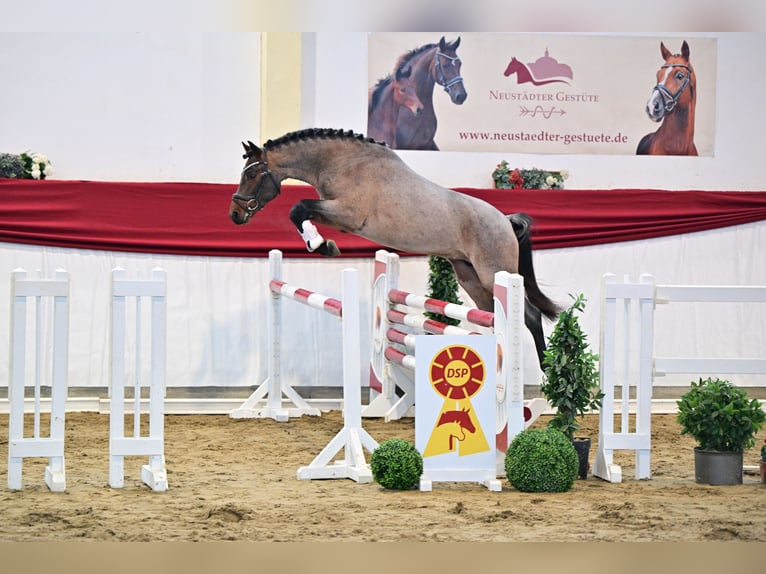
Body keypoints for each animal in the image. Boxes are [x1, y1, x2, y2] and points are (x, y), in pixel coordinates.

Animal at [226, 128, 560, 366]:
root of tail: (505, 220)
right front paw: (322, 243)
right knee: (492, 315)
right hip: (471, 278)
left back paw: (546, 374)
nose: (235, 214)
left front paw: (322, 245)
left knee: (530, 315)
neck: (343, 162)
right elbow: (301, 211)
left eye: (252, 174)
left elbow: (298, 208)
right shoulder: (338, 215)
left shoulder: (348, 214)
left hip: (495, 273)